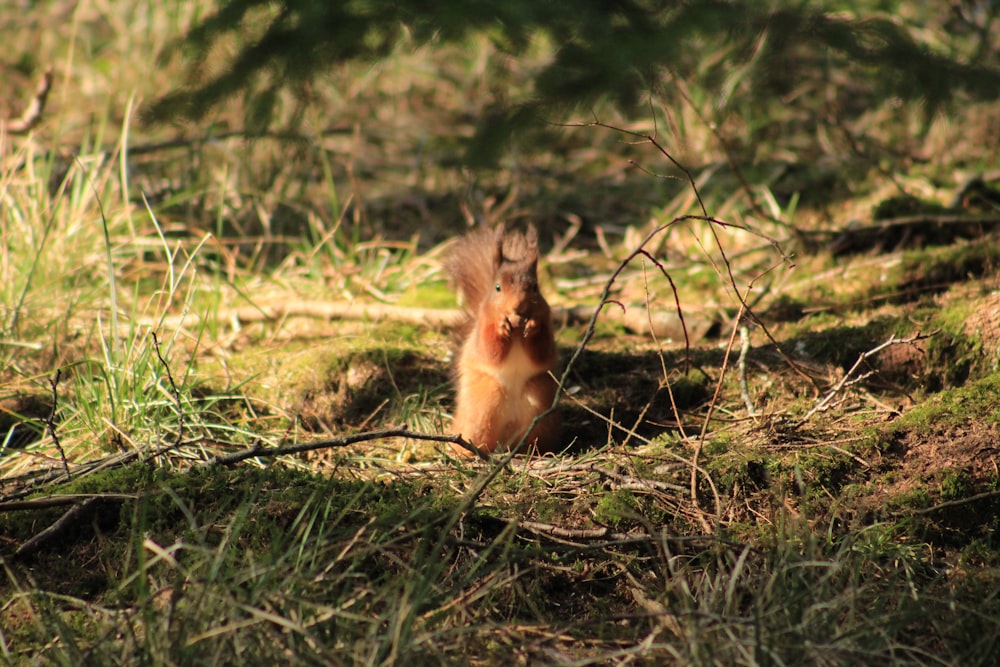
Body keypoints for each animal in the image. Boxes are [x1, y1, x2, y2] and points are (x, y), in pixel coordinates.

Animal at [446, 224, 564, 460]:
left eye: (535, 287)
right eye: (498, 287)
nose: (517, 307)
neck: (516, 330)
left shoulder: (547, 322)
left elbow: (541, 351)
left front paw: (532, 326)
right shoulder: (483, 326)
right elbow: (490, 350)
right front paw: (501, 327)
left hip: (538, 402)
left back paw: (533, 452)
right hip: (484, 405)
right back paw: (466, 451)